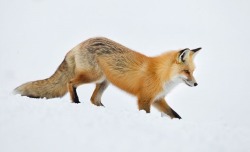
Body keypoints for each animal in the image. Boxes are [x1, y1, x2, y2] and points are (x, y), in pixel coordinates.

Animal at [14, 37, 201, 119]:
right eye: (186, 71)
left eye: (193, 71)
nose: (196, 84)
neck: (161, 74)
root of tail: (79, 44)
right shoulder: (144, 99)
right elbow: (146, 113)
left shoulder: (158, 99)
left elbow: (175, 115)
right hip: (93, 76)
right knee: (70, 83)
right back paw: (76, 102)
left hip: (104, 82)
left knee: (94, 99)